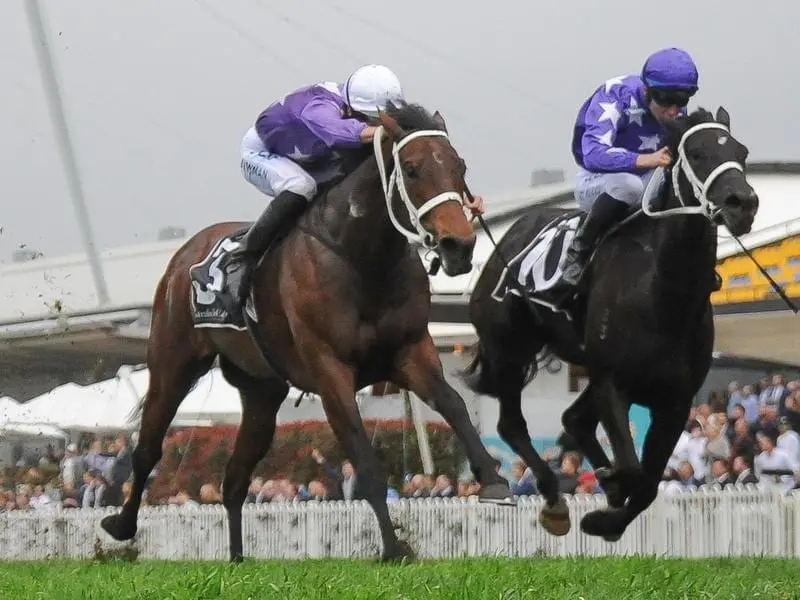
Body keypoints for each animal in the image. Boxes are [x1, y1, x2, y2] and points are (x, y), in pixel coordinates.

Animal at [100, 102, 512, 564]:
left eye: (460, 166)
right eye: (412, 168)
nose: (459, 245)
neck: (361, 257)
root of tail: (183, 256)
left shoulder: (411, 350)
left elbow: (454, 404)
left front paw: (494, 481)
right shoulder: (330, 370)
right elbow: (364, 458)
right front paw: (393, 547)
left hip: (261, 391)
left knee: (235, 477)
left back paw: (237, 559)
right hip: (172, 363)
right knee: (148, 448)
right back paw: (121, 525)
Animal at [460, 105, 760, 540]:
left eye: (742, 151)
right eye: (697, 152)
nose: (743, 203)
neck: (663, 293)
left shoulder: (675, 400)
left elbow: (648, 484)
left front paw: (607, 512)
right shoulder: (613, 383)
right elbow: (635, 472)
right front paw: (607, 496)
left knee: (572, 418)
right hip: (509, 351)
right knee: (512, 424)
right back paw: (554, 497)